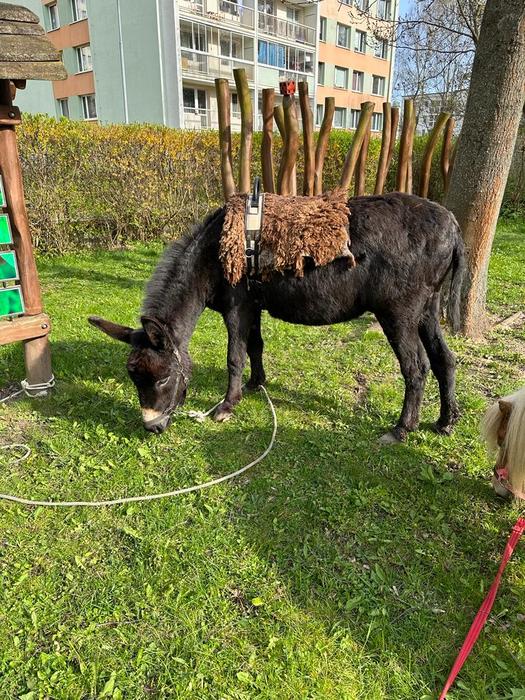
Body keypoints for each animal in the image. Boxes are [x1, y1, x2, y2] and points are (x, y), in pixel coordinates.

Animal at [88, 192, 465, 443]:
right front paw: (257, 384)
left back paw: (401, 429)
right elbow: (255, 346)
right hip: (427, 308)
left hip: (398, 312)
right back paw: (445, 422)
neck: (213, 253)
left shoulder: (237, 308)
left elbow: (234, 357)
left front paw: (227, 405)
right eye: (134, 378)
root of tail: (452, 225)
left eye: (163, 378)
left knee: (416, 368)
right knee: (444, 359)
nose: (152, 427)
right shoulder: (252, 307)